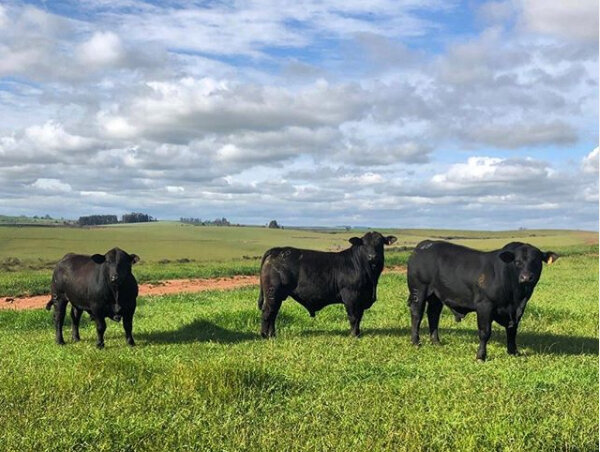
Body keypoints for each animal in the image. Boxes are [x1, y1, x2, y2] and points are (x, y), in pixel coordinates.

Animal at [255, 231, 396, 338]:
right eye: (364, 244)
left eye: (380, 243)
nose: (373, 257)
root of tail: (277, 250)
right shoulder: (350, 296)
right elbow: (353, 317)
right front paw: (353, 336)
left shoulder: (361, 299)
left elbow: (359, 317)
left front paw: (358, 334)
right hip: (273, 293)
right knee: (268, 312)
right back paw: (265, 335)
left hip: (276, 296)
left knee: (273, 314)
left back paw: (272, 335)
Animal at [408, 240, 556, 360]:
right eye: (517, 262)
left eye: (536, 261)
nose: (526, 277)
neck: (516, 297)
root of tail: (424, 245)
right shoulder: (485, 306)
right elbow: (485, 332)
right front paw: (481, 356)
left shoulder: (517, 311)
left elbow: (512, 331)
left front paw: (513, 352)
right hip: (418, 291)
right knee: (417, 315)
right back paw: (416, 342)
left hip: (436, 297)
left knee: (433, 315)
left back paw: (436, 342)